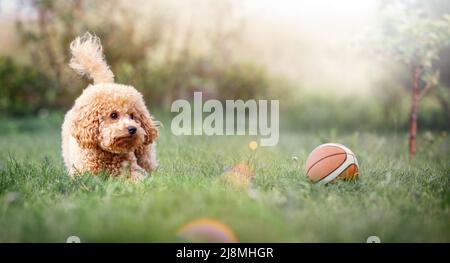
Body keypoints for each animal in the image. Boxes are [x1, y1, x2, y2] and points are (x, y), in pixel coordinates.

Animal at [61, 32, 160, 182]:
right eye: (113, 115)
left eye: (132, 116)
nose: (133, 129)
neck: (107, 154)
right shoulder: (83, 173)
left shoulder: (133, 168)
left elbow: (137, 177)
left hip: (144, 153)